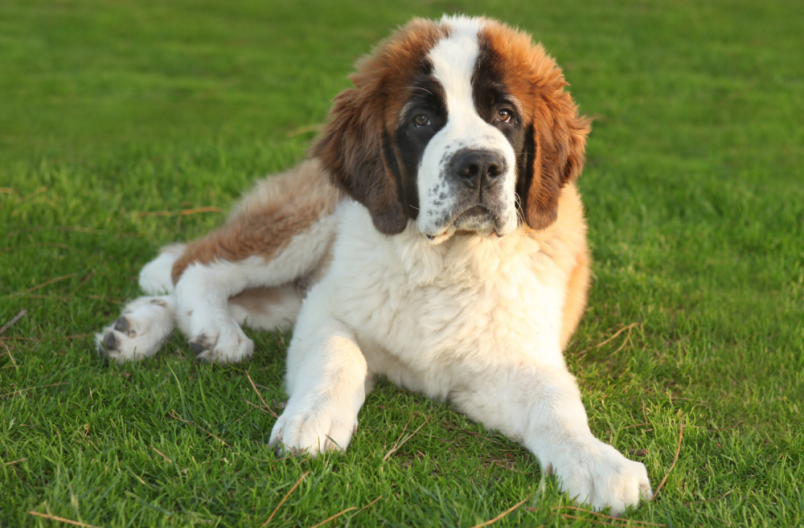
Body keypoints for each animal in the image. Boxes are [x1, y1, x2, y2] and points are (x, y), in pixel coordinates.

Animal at [96, 15, 652, 516]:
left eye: (506, 116)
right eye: (422, 121)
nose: (479, 166)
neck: (446, 261)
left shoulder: (513, 362)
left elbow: (555, 404)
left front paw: (597, 461)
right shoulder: (327, 308)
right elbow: (341, 356)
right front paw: (314, 419)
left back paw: (137, 327)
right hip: (309, 221)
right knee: (198, 263)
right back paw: (212, 331)